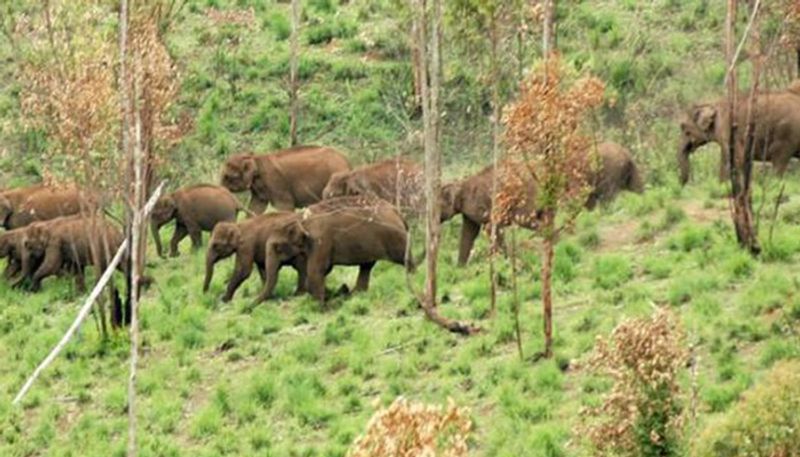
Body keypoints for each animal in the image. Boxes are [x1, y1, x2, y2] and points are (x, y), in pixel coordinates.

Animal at [220, 145, 348, 215]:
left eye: (229, 177)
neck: (255, 158)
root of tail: (346, 161)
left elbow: (285, 206)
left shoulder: (275, 182)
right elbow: (256, 206)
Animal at [256, 194, 416, 304]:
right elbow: (324, 270)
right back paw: (355, 294)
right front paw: (334, 294)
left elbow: (314, 272)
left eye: (277, 248)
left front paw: (322, 307)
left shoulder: (319, 240)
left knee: (405, 260)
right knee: (366, 266)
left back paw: (414, 279)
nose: (250, 306)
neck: (300, 218)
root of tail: (397, 212)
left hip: (395, 238)